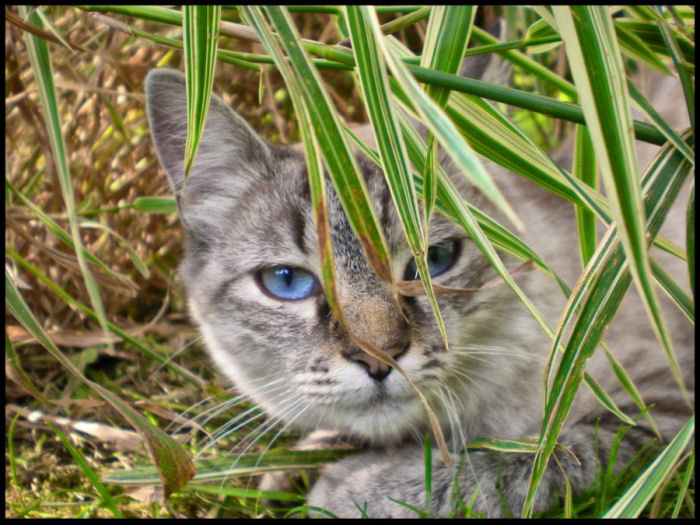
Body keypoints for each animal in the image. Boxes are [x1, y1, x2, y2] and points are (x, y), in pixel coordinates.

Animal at [144, 45, 696, 516]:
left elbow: (527, 458)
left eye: (434, 260)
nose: (379, 359)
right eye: (287, 281)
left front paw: (348, 490)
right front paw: (302, 465)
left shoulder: (660, 410)